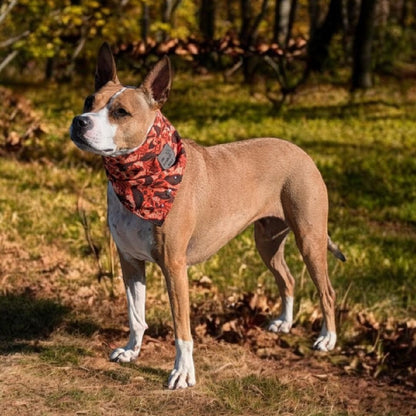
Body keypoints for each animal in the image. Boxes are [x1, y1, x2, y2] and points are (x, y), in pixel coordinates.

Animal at [70, 43, 344, 390]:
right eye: (88, 102)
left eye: (120, 112)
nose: (80, 122)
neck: (137, 178)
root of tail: (302, 152)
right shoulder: (130, 262)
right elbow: (136, 314)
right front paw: (132, 351)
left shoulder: (175, 267)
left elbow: (182, 329)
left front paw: (183, 372)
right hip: (267, 242)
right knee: (288, 278)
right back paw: (284, 322)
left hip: (310, 239)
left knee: (327, 291)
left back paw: (328, 339)